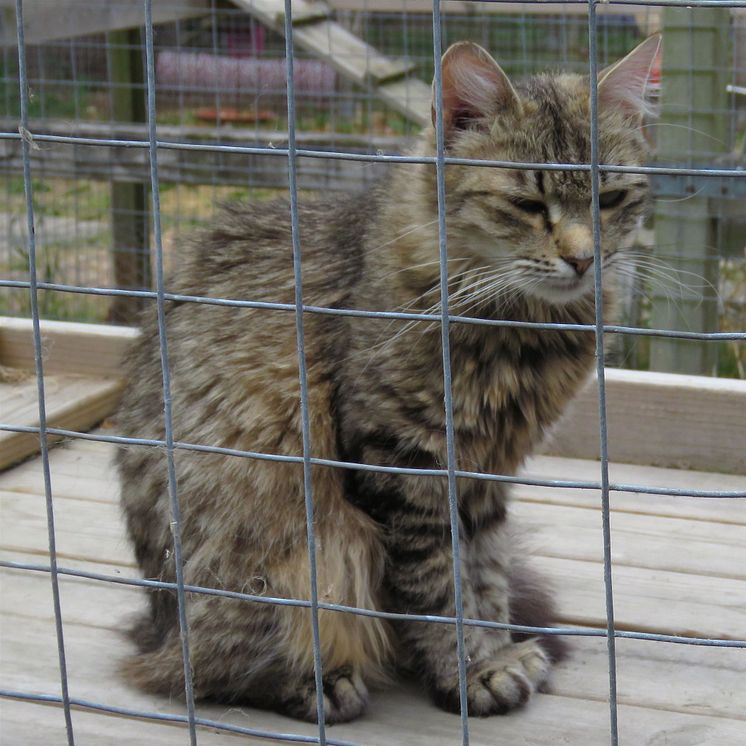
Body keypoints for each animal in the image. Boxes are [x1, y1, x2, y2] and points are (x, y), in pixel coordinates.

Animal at [115, 36, 656, 720]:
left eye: (609, 200)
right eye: (529, 205)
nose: (584, 259)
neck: (524, 326)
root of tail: (157, 622)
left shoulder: (484, 472)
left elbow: (484, 575)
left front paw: (495, 650)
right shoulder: (404, 461)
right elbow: (438, 589)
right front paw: (469, 673)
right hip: (288, 552)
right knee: (199, 669)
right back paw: (317, 685)